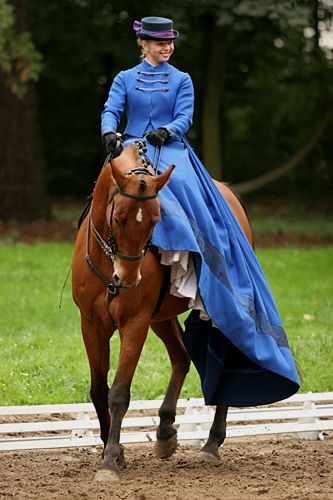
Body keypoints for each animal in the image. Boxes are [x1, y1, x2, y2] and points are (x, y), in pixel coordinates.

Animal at [71, 141, 253, 480]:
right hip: (161, 317)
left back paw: (212, 443)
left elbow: (119, 393)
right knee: (181, 358)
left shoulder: (135, 322)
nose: (128, 279)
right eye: (119, 218)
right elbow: (99, 390)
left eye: (156, 220)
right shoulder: (91, 324)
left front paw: (110, 460)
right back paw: (166, 430)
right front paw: (114, 452)